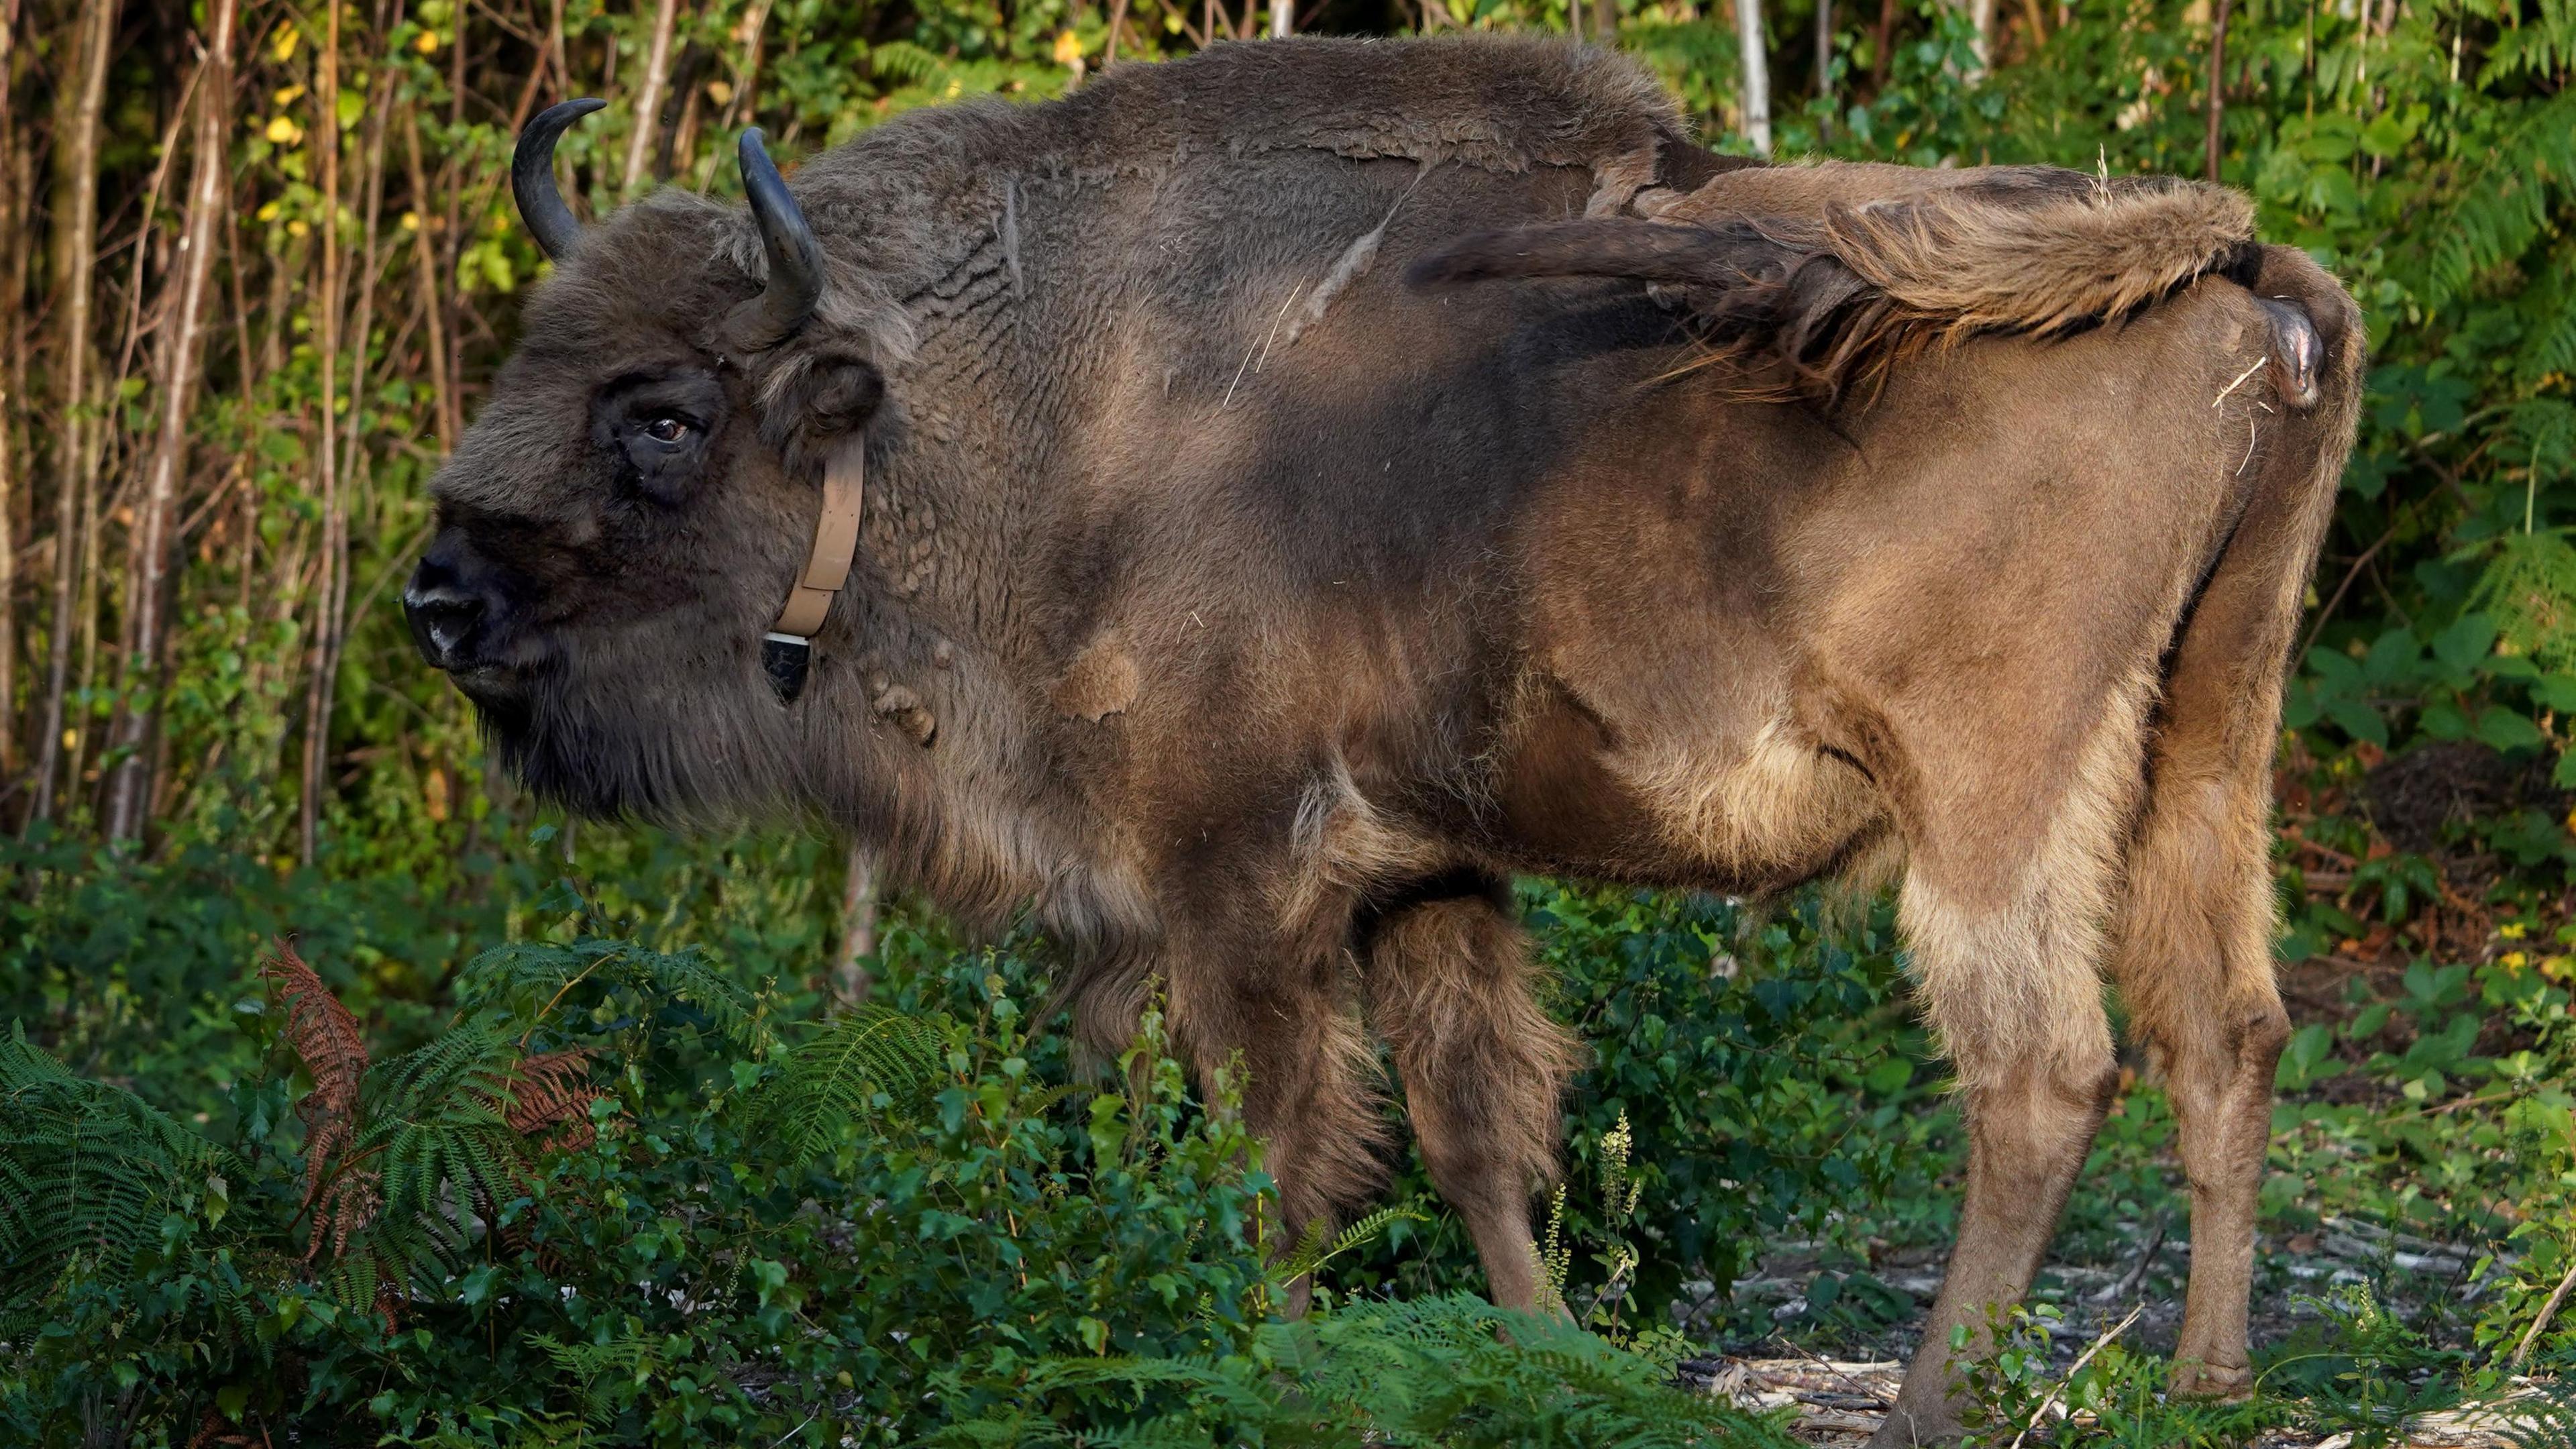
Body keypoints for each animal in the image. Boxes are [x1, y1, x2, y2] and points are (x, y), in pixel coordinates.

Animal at [402, 39, 2359, 1433]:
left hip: (1994, 789)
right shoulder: (1422, 867)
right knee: (2225, 1029)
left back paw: (1935, 1407)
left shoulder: (1233, 877)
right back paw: (2210, 1385)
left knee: (2042, 1069)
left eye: (660, 413)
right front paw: (1548, 1362)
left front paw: (1260, 1371)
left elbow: (1272, 1156)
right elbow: (1472, 1122)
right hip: (2211, 733)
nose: (438, 598)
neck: (1034, 402)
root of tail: (2236, 270)